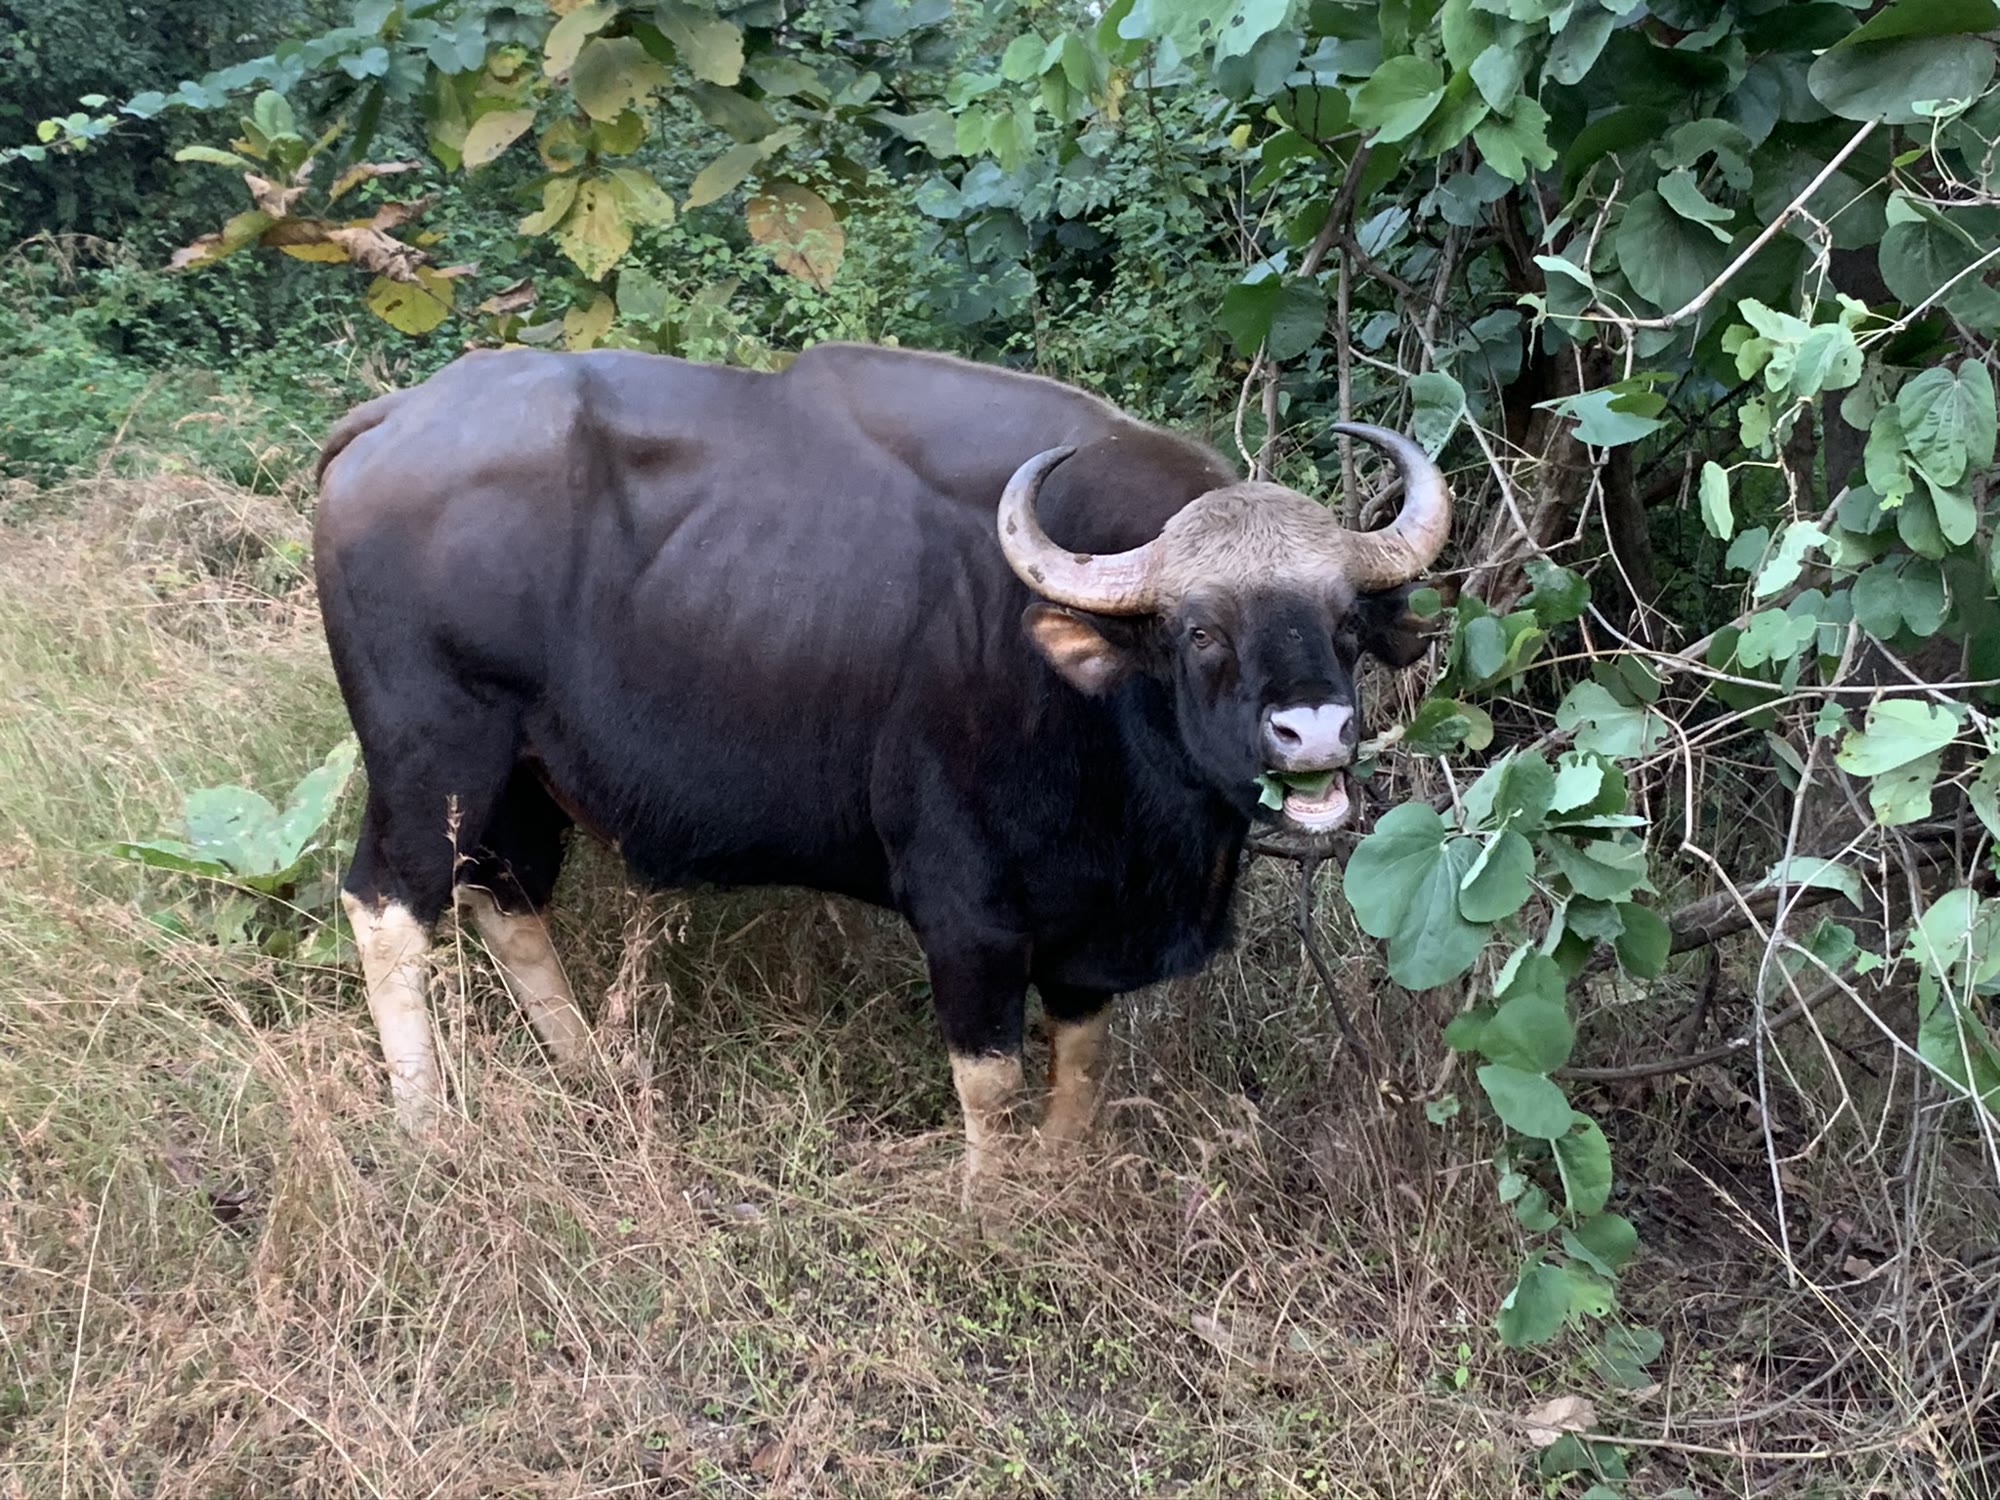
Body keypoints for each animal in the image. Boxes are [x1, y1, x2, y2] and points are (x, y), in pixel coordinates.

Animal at [312, 341, 1449, 1186]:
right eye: (1201, 631)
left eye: (1346, 623)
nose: (1313, 733)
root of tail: (388, 421)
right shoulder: (968, 909)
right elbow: (988, 1080)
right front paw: (992, 1203)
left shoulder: (1086, 921)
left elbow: (1081, 1066)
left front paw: (1063, 1170)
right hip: (433, 755)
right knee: (389, 903)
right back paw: (426, 1122)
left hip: (522, 775)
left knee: (505, 897)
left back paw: (589, 1065)